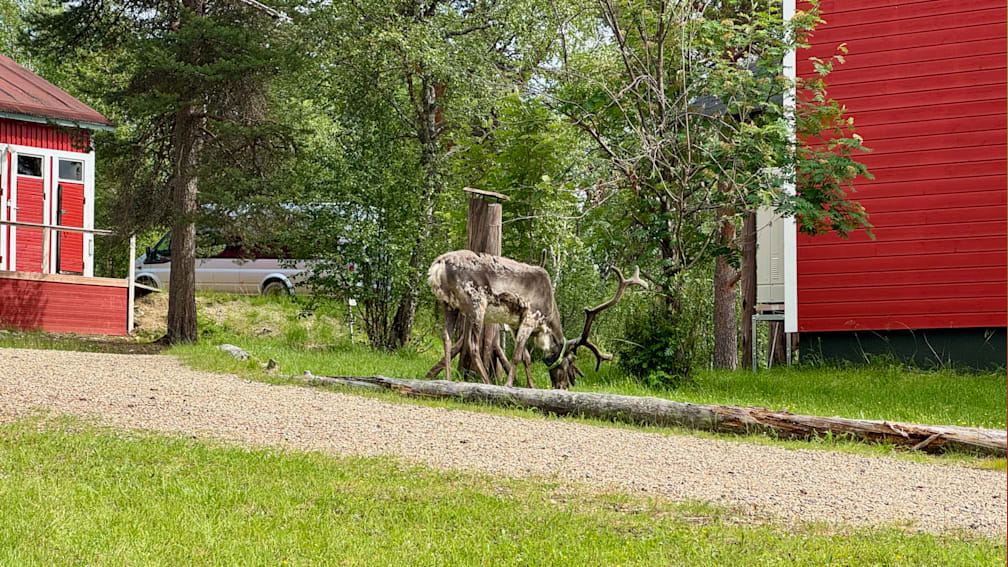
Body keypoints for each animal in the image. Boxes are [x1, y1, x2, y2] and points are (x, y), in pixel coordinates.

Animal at [427, 250, 647, 389]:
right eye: (570, 361)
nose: (563, 386)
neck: (546, 324)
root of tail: (437, 266)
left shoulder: (514, 323)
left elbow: (527, 356)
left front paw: (531, 385)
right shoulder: (531, 316)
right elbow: (517, 355)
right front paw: (508, 384)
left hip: (448, 304)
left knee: (446, 338)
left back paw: (447, 380)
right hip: (476, 303)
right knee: (472, 345)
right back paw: (487, 382)